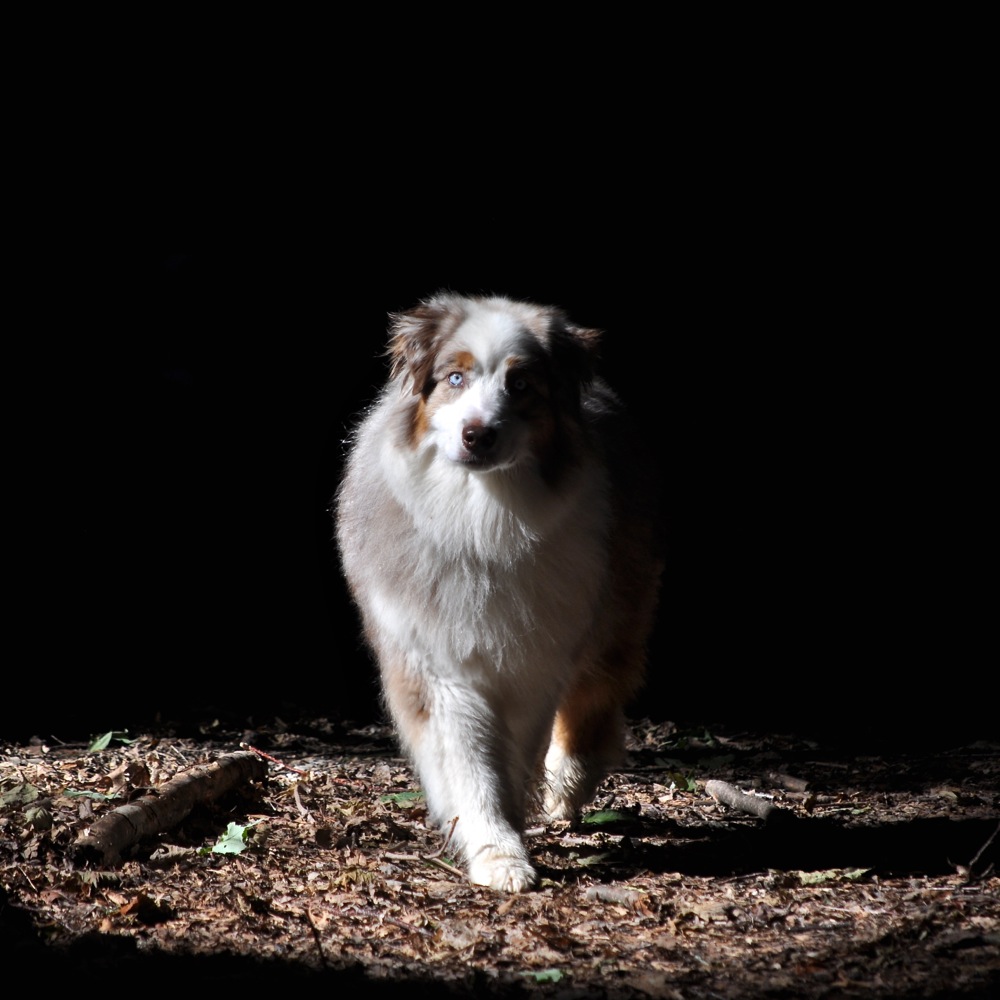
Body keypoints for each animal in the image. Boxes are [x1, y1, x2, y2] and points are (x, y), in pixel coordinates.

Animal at [336, 292, 664, 892]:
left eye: (521, 384)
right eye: (455, 378)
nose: (478, 433)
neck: (482, 513)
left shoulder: (534, 658)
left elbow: (516, 752)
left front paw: (509, 830)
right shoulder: (440, 660)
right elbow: (470, 760)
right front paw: (495, 850)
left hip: (615, 606)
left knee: (595, 696)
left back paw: (567, 787)